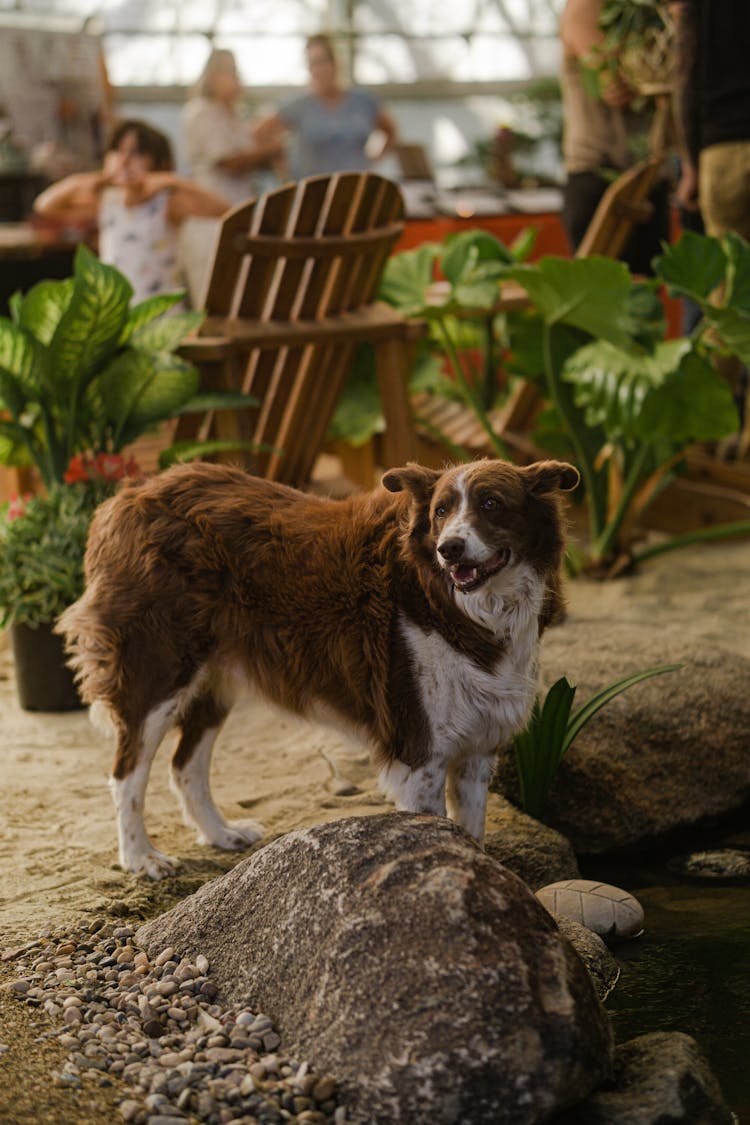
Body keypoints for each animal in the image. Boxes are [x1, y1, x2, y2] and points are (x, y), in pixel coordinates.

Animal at [57, 456, 580, 877]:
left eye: (492, 504)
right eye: (441, 512)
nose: (448, 548)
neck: (465, 608)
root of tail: (130, 494)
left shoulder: (476, 750)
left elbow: (473, 835)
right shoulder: (419, 751)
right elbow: (444, 837)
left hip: (216, 677)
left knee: (185, 764)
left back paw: (220, 833)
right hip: (159, 669)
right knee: (127, 772)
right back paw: (139, 857)